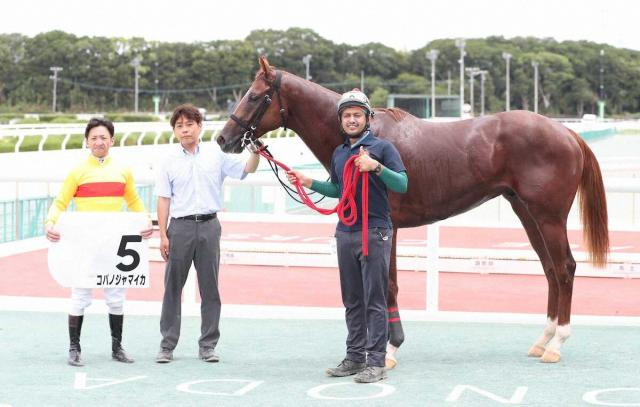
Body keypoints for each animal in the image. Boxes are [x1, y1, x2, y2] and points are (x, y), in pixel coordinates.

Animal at [216, 56, 609, 367]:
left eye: (254, 96)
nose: (223, 139)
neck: (366, 137)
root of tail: (568, 134)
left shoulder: (385, 227)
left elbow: (386, 285)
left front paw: (389, 350)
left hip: (549, 217)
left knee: (565, 268)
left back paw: (557, 344)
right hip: (527, 213)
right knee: (550, 270)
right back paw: (543, 340)